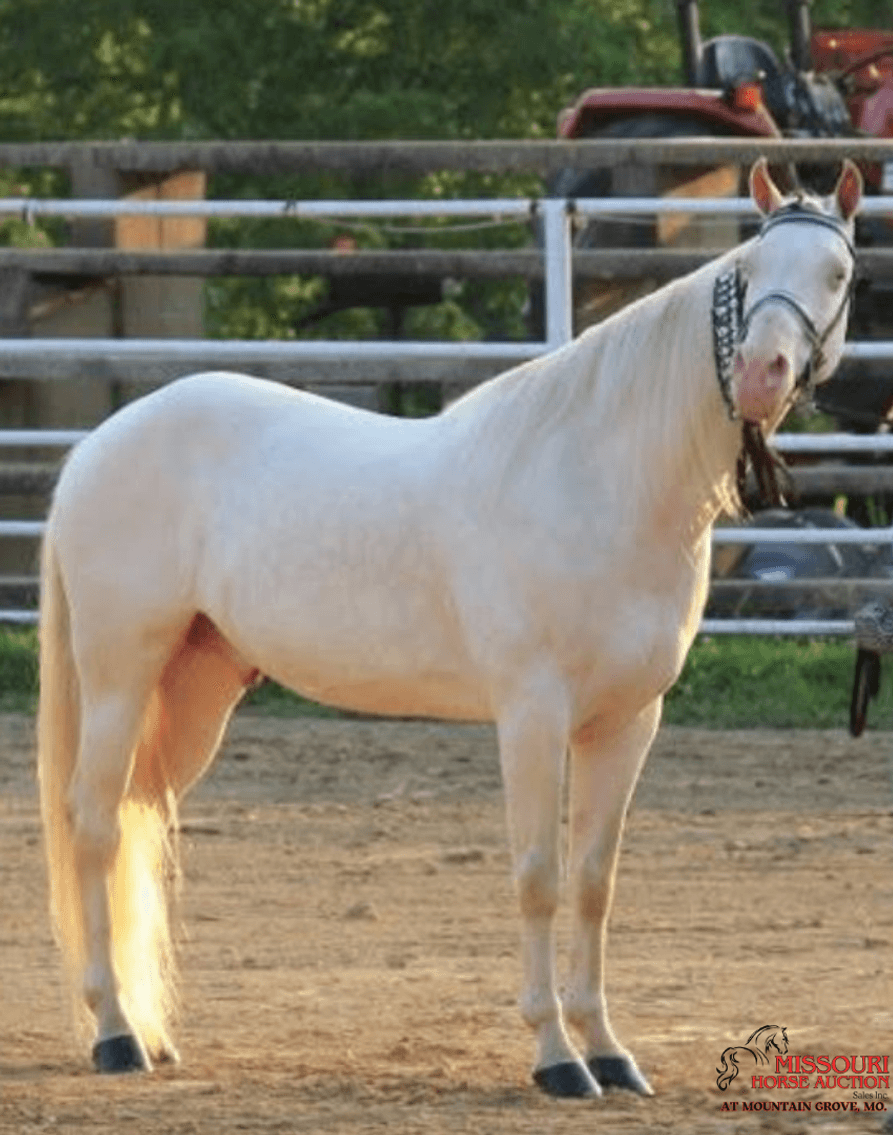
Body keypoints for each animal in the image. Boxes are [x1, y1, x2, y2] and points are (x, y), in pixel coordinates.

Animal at [37, 158, 861, 1097]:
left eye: (838, 273)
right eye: (749, 272)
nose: (760, 371)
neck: (598, 477)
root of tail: (99, 445)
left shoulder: (627, 721)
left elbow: (593, 881)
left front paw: (609, 1051)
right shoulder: (532, 715)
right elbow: (538, 876)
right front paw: (556, 1057)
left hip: (194, 688)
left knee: (138, 817)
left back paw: (149, 1027)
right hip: (117, 676)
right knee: (94, 826)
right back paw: (113, 1033)